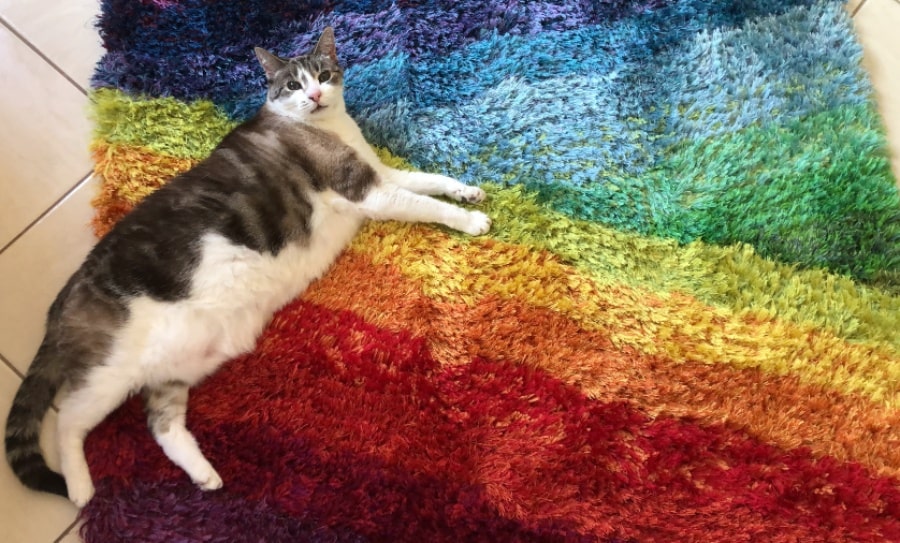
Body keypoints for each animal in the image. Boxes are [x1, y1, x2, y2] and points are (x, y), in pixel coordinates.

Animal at [1, 27, 492, 508]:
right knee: (69, 420)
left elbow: (428, 181)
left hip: (176, 371)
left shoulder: (382, 176)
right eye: (292, 85)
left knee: (161, 424)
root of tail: (65, 298)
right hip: (109, 371)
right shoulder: (366, 189)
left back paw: (204, 475)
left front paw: (467, 192)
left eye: (323, 74)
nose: (315, 95)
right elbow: (426, 203)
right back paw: (79, 488)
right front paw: (469, 221)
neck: (326, 126)